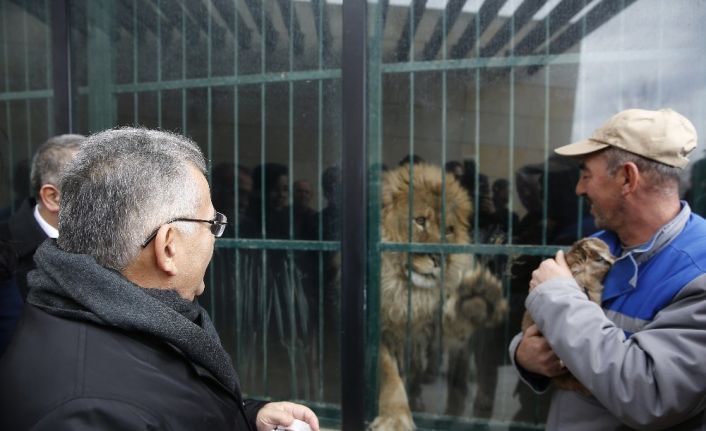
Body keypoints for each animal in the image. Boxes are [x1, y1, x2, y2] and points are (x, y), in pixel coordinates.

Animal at [368, 164, 506, 430]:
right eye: (420, 220)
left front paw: (476, 300)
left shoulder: (433, 333)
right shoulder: (380, 329)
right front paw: (395, 418)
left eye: (449, 231)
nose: (440, 258)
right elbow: (389, 374)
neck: (407, 292)